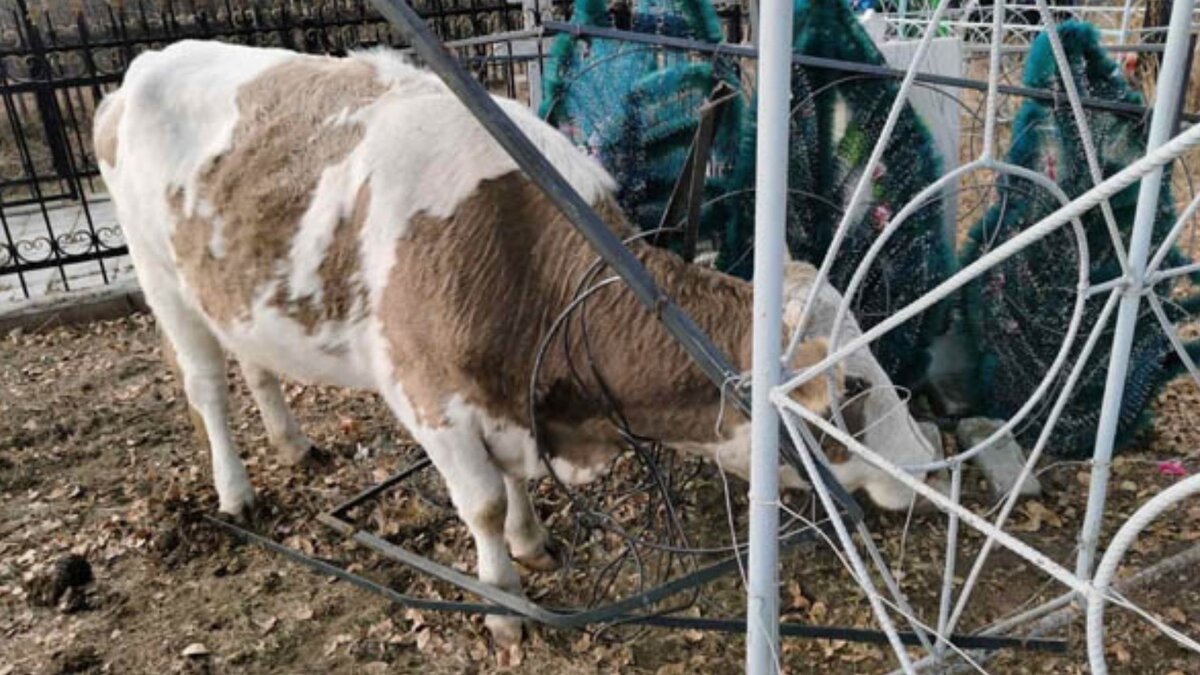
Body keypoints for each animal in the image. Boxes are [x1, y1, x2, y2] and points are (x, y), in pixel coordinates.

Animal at [93, 40, 936, 638]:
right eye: (854, 387)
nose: (929, 466)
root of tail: (144, 65)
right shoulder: (429, 399)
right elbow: (483, 503)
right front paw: (501, 604)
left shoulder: (511, 397)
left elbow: (516, 485)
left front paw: (533, 541)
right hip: (161, 278)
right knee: (207, 387)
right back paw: (235, 491)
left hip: (226, 289)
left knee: (256, 364)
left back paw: (292, 441)